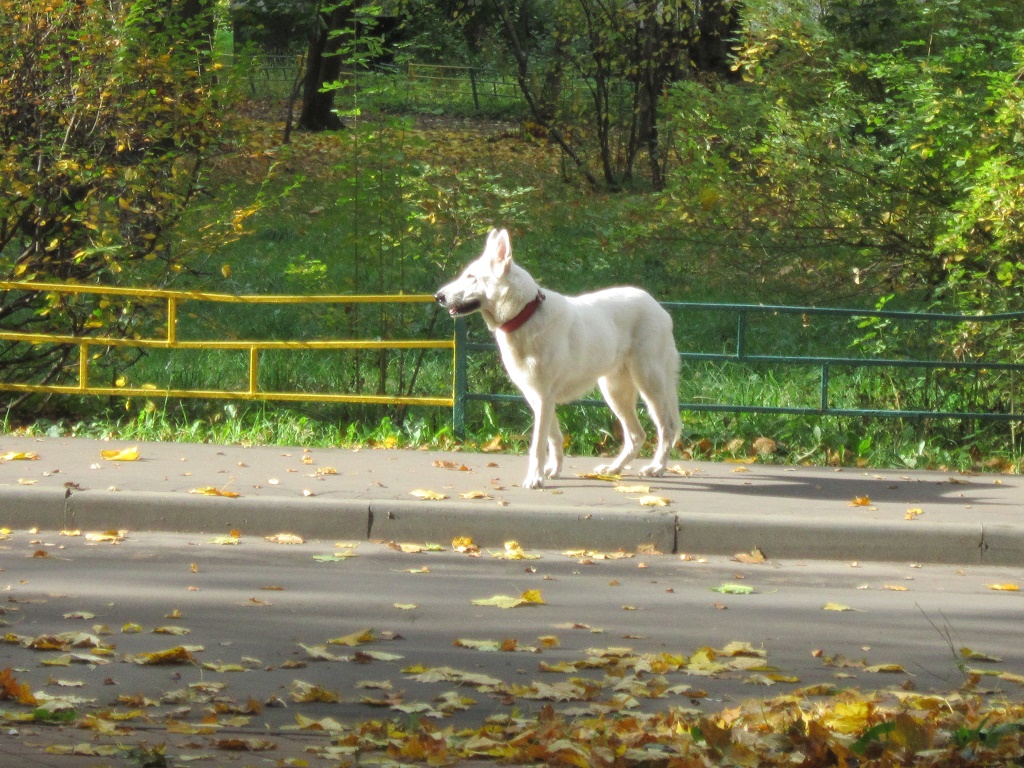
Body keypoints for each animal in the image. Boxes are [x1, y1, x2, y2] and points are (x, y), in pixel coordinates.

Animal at [434, 230, 679, 493]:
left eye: (471, 277)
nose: (438, 296)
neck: (525, 314)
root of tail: (658, 307)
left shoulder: (543, 397)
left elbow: (537, 446)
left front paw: (535, 478)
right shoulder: (537, 397)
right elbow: (553, 437)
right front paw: (553, 470)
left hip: (649, 383)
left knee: (667, 428)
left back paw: (657, 468)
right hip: (614, 391)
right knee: (636, 435)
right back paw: (614, 469)